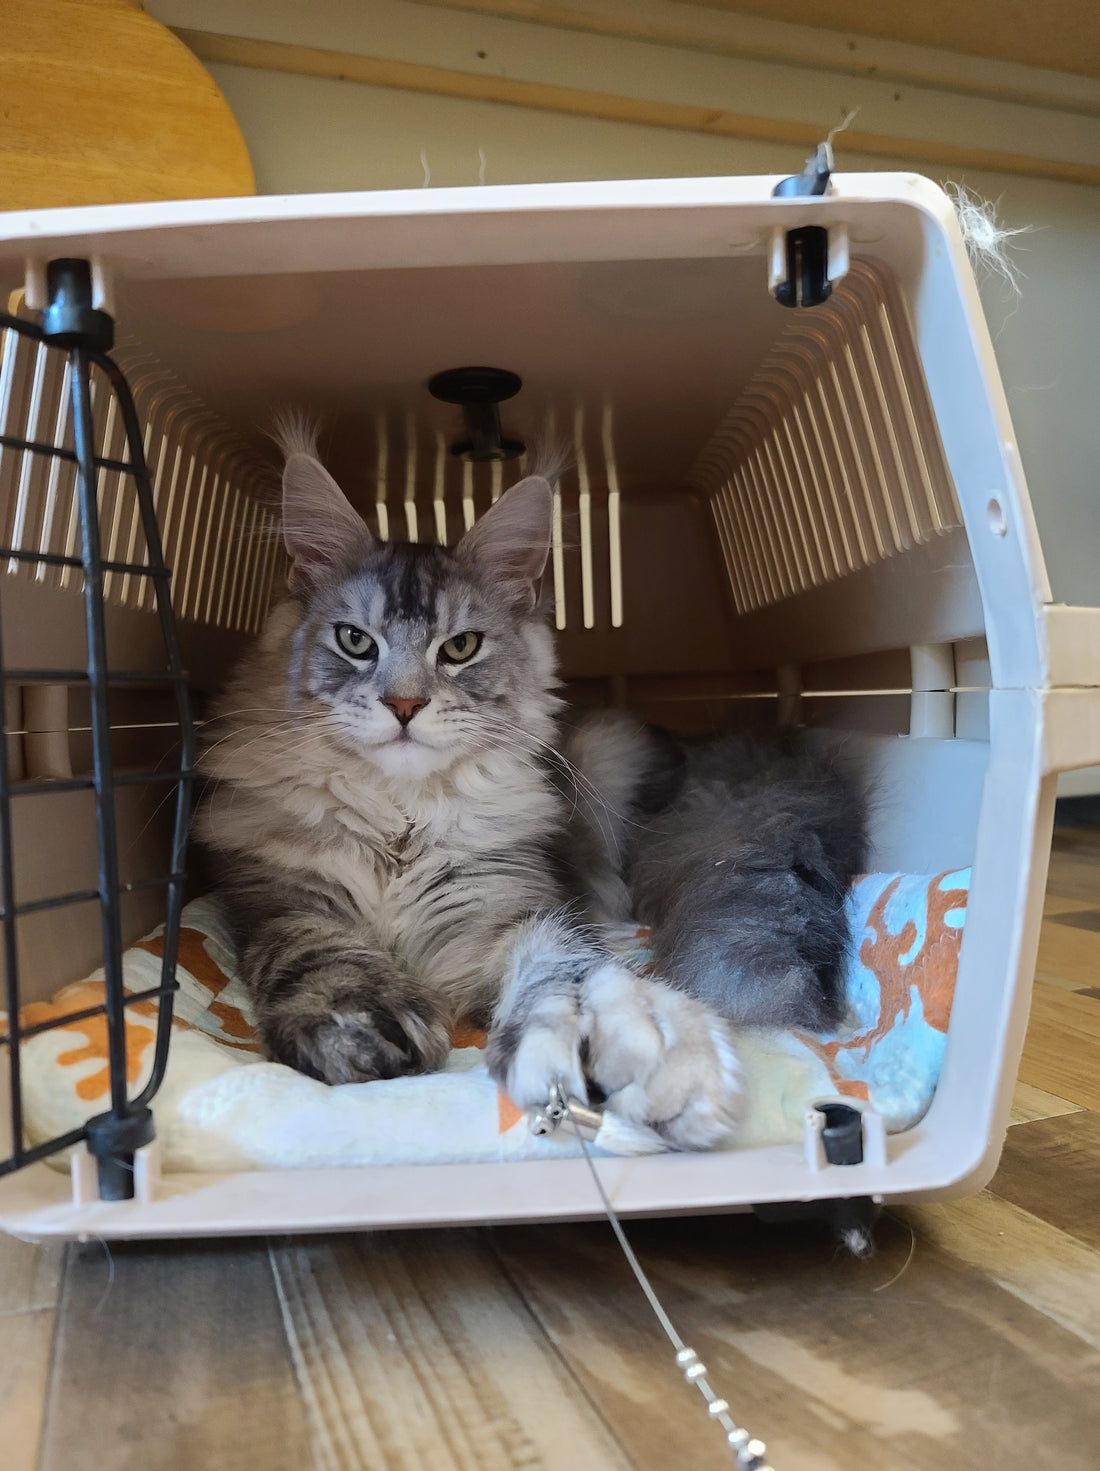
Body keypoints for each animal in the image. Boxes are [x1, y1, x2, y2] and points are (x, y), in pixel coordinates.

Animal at [200, 426, 870, 1147]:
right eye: (355, 641)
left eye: (459, 648)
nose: (404, 704)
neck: (400, 819)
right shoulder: (282, 902)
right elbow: (321, 956)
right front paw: (362, 1023)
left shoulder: (508, 907)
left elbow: (564, 967)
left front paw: (626, 1047)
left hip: (609, 751)